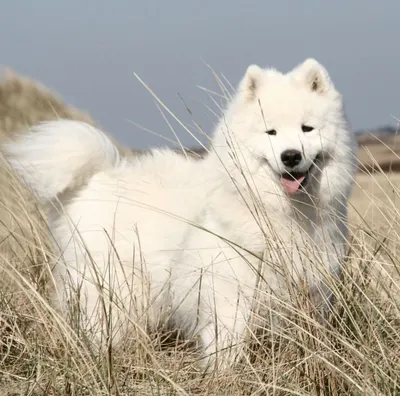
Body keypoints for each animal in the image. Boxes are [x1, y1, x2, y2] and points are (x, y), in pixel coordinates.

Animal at [3, 58, 358, 372]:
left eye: (307, 129)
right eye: (270, 132)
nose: (290, 156)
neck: (279, 211)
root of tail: (95, 178)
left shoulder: (310, 290)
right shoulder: (228, 294)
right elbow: (227, 343)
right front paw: (222, 375)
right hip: (113, 289)